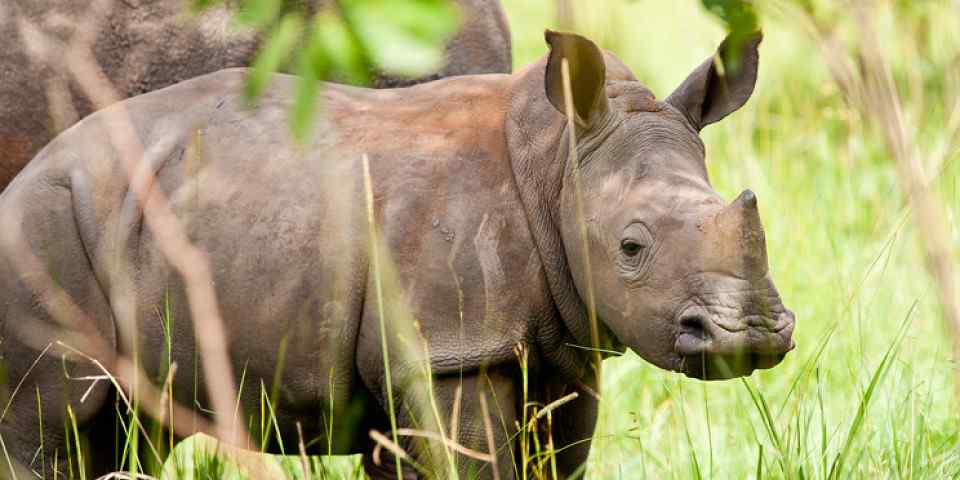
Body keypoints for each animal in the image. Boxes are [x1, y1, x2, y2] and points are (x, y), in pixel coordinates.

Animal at [0, 30, 795, 478]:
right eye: (631, 247)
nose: (751, 336)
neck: (555, 166)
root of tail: (27, 173)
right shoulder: (451, 348)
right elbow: (475, 462)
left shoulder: (566, 346)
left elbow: (554, 456)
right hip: (39, 229)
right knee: (50, 424)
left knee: (133, 429)